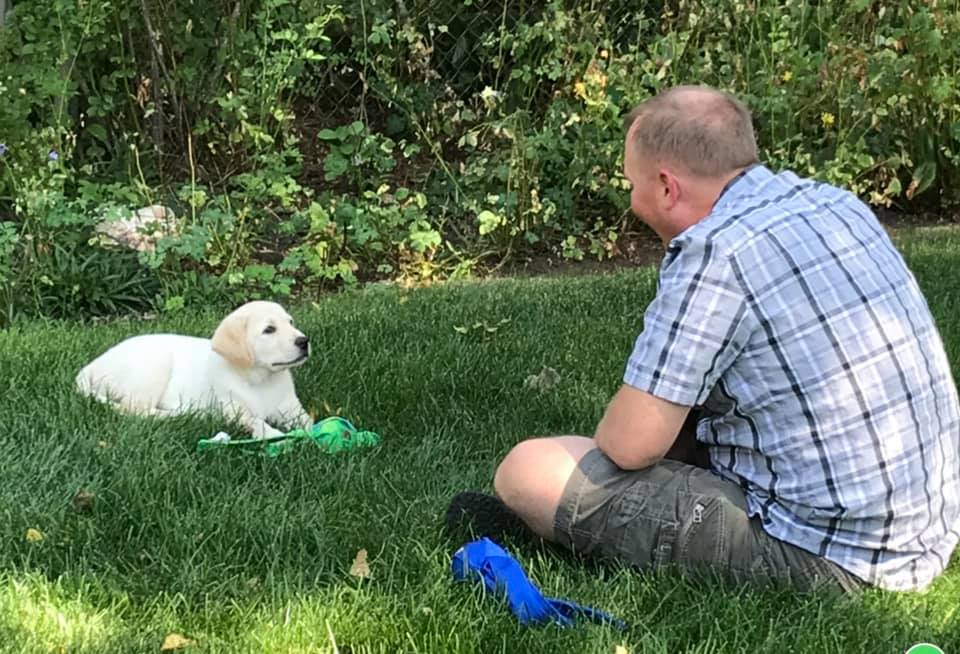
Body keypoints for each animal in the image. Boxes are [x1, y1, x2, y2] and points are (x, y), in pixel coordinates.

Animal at [78, 304, 316, 440]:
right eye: (269, 330)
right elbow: (254, 420)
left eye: (291, 322)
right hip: (155, 365)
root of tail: (90, 366)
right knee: (134, 409)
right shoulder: (233, 408)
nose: (304, 341)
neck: (261, 379)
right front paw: (274, 434)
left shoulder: (290, 407)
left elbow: (308, 421)